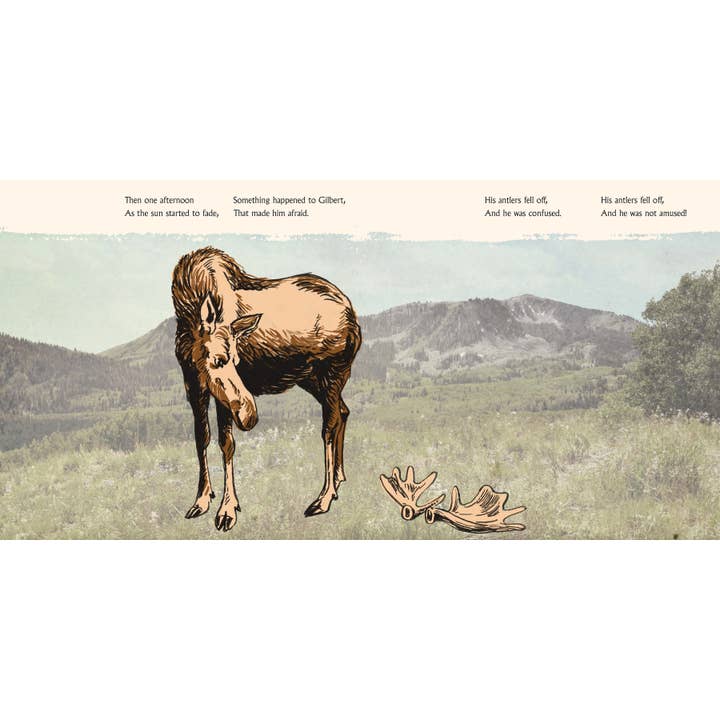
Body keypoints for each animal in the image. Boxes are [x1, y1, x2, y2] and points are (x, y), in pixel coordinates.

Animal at [171, 246, 361, 531]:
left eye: (236, 360)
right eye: (218, 360)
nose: (249, 415)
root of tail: (353, 317)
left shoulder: (219, 398)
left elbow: (226, 443)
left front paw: (227, 509)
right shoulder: (193, 384)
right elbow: (200, 438)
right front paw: (202, 499)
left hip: (333, 374)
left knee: (329, 426)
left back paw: (324, 497)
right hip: (312, 380)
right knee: (344, 411)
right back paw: (339, 479)